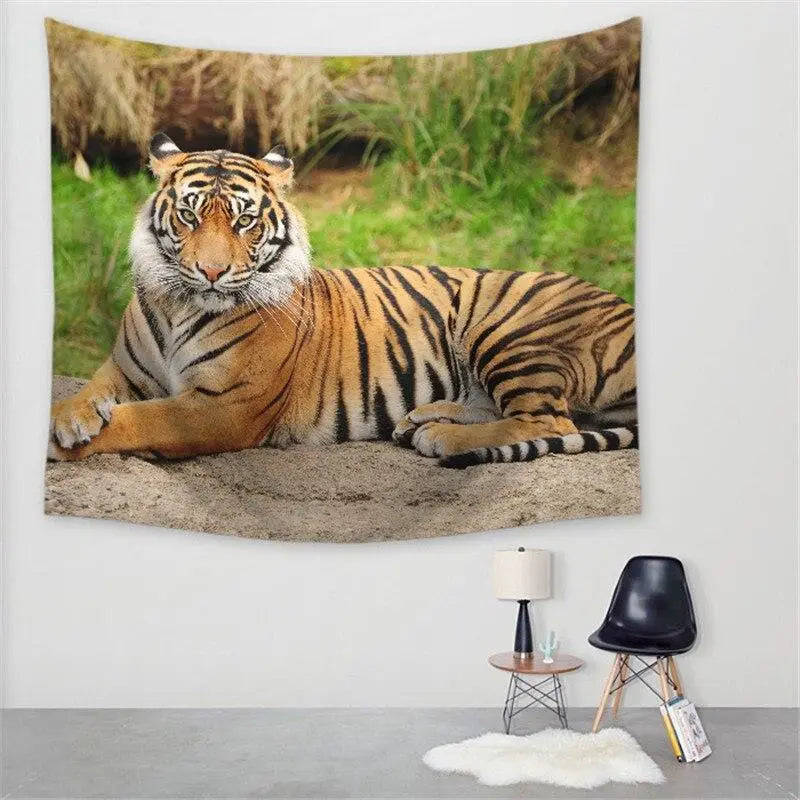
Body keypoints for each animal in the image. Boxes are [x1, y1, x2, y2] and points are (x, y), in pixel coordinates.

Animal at [48, 133, 638, 469]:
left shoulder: (225, 406)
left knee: (550, 421)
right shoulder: (126, 369)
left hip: (502, 323)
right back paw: (422, 418)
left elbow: (141, 421)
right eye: (190, 216)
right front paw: (69, 419)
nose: (211, 272)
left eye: (243, 220)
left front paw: (61, 443)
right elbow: (91, 392)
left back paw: (441, 438)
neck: (180, 305)